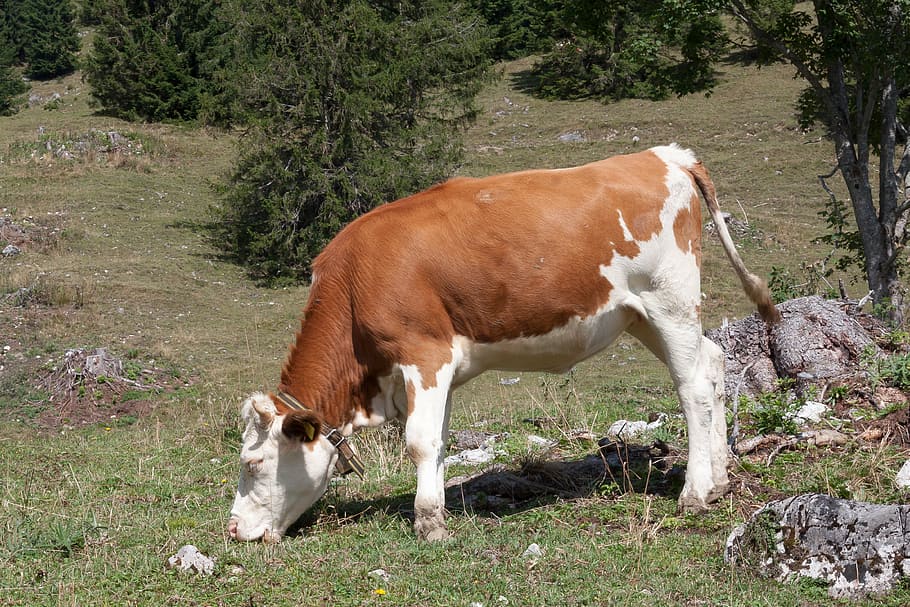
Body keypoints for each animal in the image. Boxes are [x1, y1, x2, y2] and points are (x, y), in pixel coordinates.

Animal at [227, 144, 780, 543]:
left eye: (253, 465)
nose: (232, 530)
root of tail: (664, 154)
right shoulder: (441, 367)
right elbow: (439, 440)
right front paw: (438, 508)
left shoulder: (423, 353)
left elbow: (418, 440)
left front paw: (429, 525)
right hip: (642, 315)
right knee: (713, 363)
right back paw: (721, 480)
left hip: (670, 300)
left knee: (694, 388)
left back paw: (696, 491)